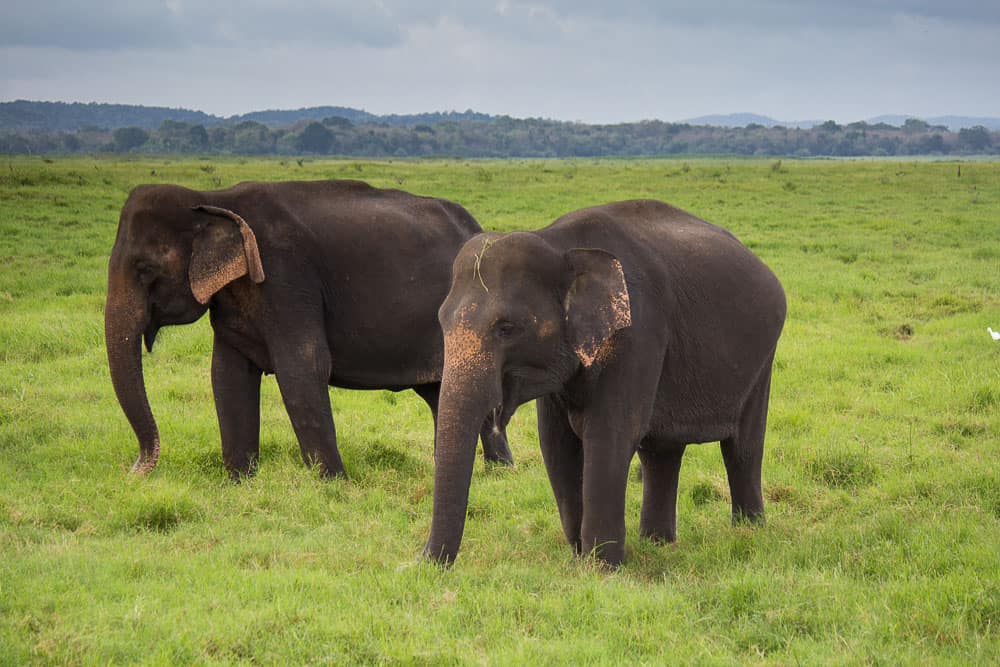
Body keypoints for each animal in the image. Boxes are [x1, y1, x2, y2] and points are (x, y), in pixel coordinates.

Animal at [107, 180, 516, 478]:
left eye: (145, 270)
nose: (135, 470)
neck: (213, 199)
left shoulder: (287, 278)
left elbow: (302, 366)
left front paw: (334, 483)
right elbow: (227, 375)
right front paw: (239, 480)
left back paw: (498, 475)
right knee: (438, 393)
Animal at [422, 200, 788, 568]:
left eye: (506, 328)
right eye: (440, 321)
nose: (426, 564)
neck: (560, 244)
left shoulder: (637, 333)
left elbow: (611, 433)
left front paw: (602, 566)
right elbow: (555, 443)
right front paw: (579, 556)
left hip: (762, 359)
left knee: (743, 447)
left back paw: (748, 532)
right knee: (661, 451)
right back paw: (658, 543)